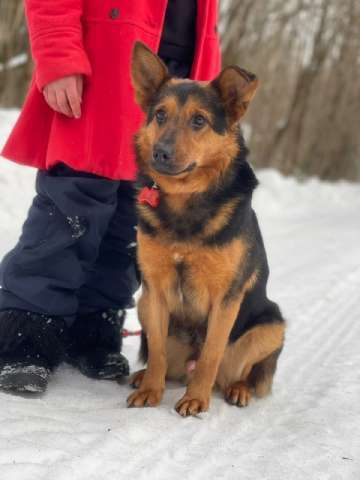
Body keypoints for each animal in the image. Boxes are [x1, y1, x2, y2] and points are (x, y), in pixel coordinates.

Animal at [128, 41, 286, 416]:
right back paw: (144, 378)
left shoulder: (226, 298)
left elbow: (211, 354)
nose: (160, 153)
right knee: (167, 362)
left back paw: (237, 389)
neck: (185, 201)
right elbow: (156, 351)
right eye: (160, 115)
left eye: (199, 120)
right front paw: (151, 390)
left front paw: (196, 399)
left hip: (273, 324)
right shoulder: (155, 291)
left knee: (241, 372)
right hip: (142, 303)